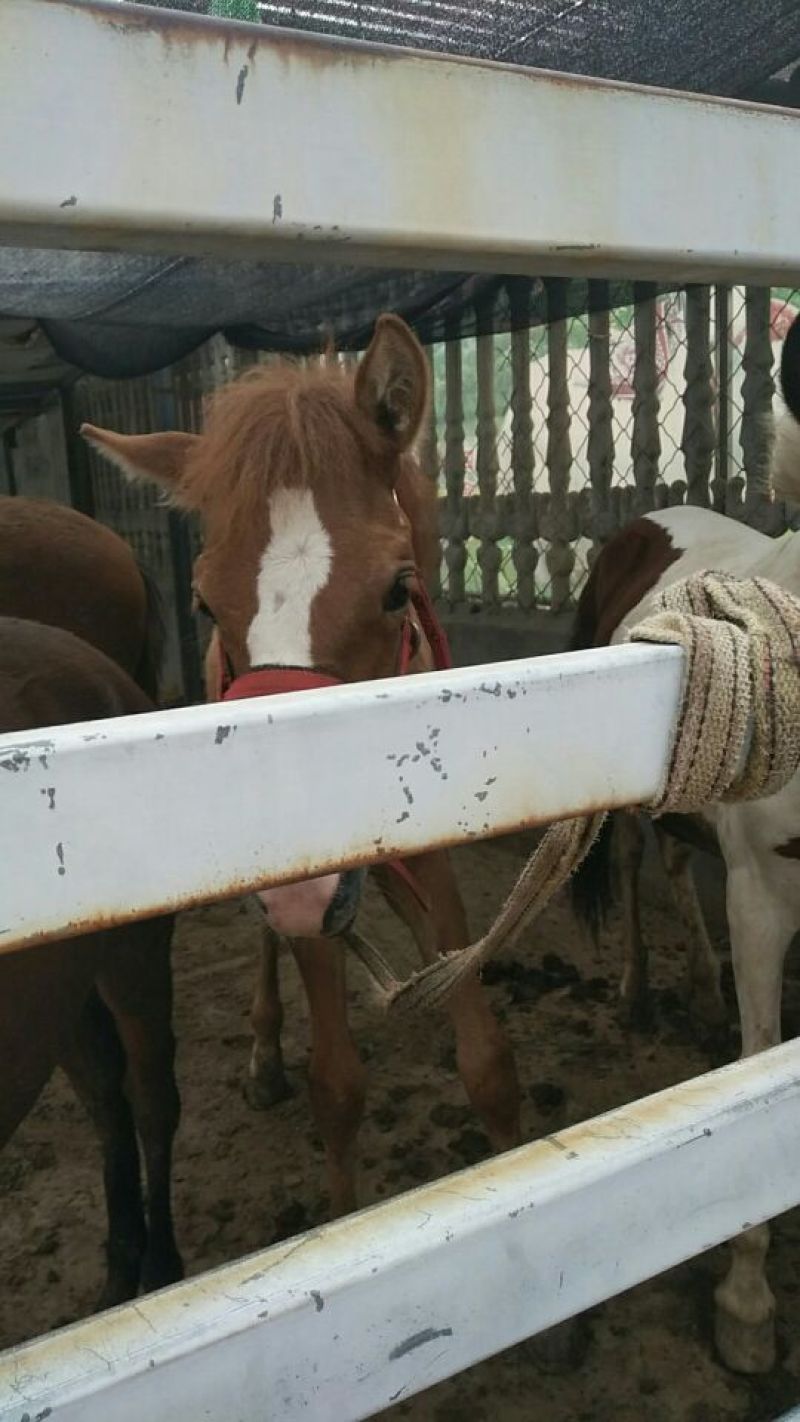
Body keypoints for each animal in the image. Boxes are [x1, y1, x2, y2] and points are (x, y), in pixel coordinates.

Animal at [0, 617, 182, 1318]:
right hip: (61, 1000)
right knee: (107, 1098)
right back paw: (121, 1271)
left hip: (132, 960)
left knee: (151, 1098)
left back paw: (160, 1268)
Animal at [81, 313, 522, 1219]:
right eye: (205, 601)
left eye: (399, 590)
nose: (303, 891)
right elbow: (337, 1088)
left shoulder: (435, 842)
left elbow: (486, 1058)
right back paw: (264, 1050)